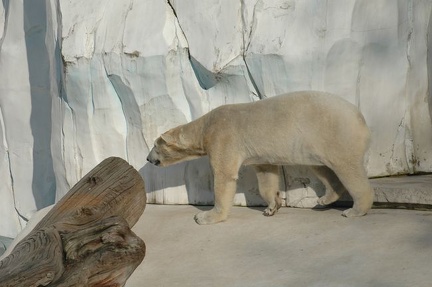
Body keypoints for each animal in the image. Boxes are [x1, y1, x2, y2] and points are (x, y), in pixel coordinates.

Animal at [147, 91, 372, 225]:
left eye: (154, 146)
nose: (148, 159)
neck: (205, 128)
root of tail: (359, 115)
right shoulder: (259, 154)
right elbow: (266, 176)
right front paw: (272, 207)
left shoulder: (223, 137)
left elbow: (224, 177)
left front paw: (205, 216)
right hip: (314, 144)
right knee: (320, 166)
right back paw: (325, 198)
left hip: (334, 134)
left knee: (348, 169)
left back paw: (354, 210)